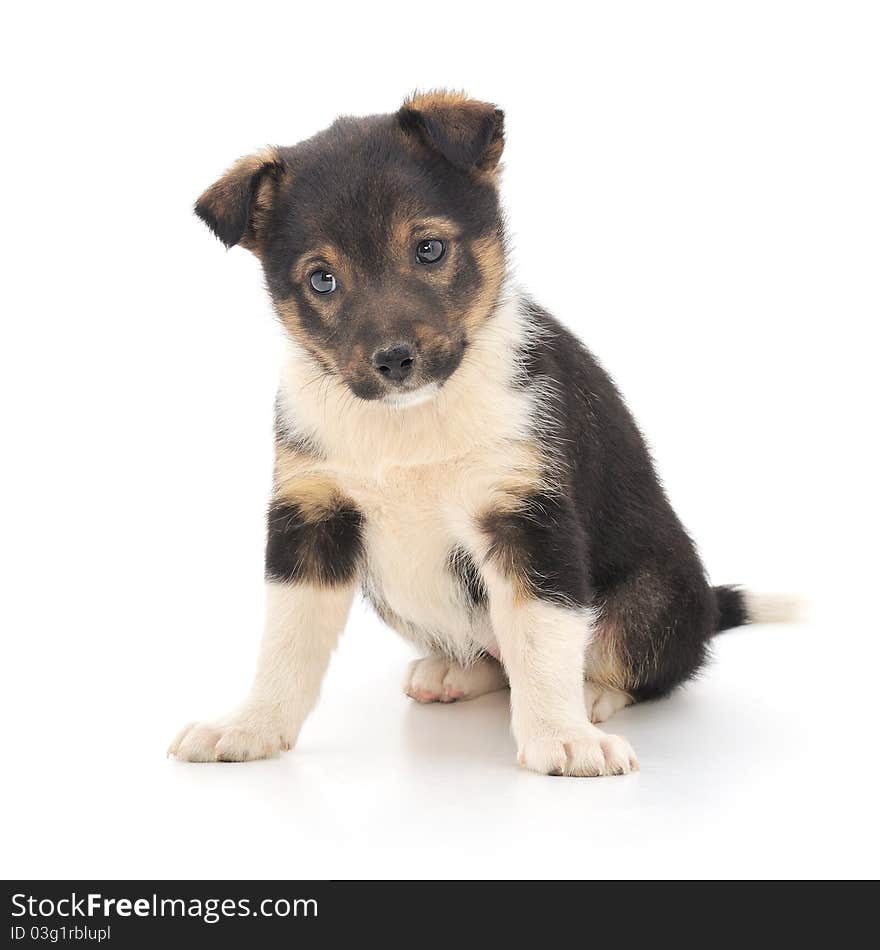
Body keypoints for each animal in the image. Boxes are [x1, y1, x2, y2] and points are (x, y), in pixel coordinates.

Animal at [168, 89, 796, 776]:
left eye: (429, 250)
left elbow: (542, 637)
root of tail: (709, 605)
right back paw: (455, 674)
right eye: (321, 279)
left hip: (654, 595)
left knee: (629, 661)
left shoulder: (526, 519)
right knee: (494, 657)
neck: (410, 420)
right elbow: (285, 643)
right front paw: (248, 727)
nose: (394, 362)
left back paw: (591, 695)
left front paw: (561, 737)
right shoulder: (311, 518)